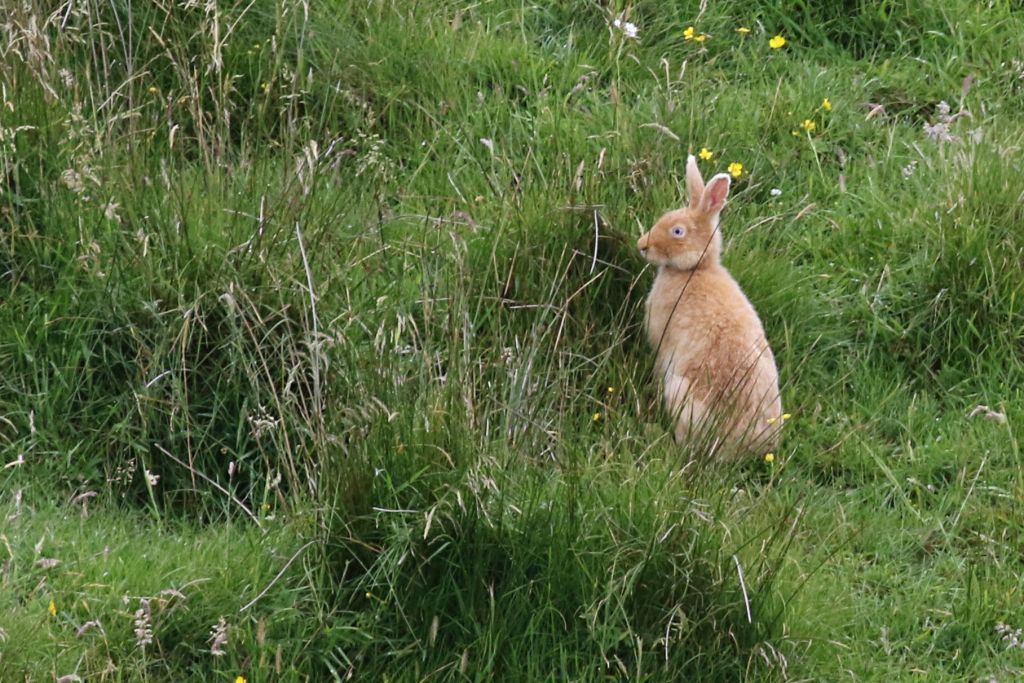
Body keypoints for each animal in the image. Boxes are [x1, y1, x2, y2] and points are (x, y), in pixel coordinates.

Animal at [634, 152, 778, 456]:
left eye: (678, 231)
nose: (642, 245)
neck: (695, 269)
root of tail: (740, 446)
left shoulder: (662, 342)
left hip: (681, 395)